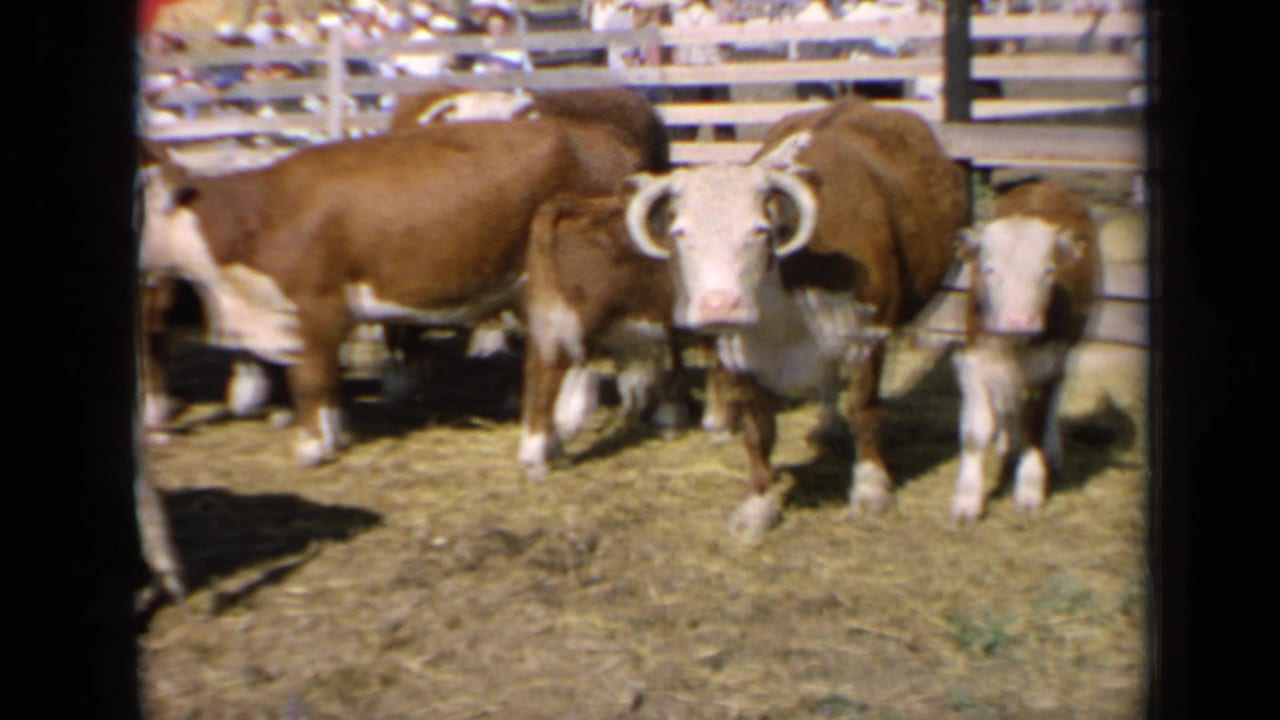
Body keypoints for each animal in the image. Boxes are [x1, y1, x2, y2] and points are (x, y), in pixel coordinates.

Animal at [140, 118, 644, 466]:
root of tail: (603, 140)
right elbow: (328, 383)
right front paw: (333, 434)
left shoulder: (315, 307)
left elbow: (309, 380)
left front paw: (312, 446)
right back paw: (560, 430)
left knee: (556, 358)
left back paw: (540, 444)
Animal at [620, 97, 968, 539]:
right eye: (681, 232)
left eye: (760, 230)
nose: (720, 305)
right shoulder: (742, 355)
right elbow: (758, 432)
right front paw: (758, 505)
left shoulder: (866, 336)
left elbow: (864, 410)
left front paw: (872, 488)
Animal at [950, 179, 1101, 522]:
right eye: (990, 270)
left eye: (1049, 271)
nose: (1020, 320)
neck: (1014, 344)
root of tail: (1045, 183)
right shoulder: (974, 363)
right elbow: (976, 432)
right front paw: (968, 499)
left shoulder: (1045, 366)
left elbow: (1035, 426)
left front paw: (1030, 490)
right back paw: (1006, 446)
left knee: (1054, 398)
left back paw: (1052, 451)